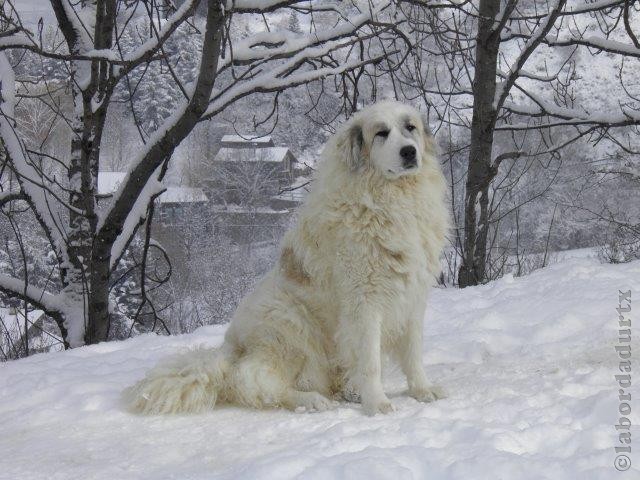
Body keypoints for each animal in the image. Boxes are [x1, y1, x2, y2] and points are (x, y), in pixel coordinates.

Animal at [124, 101, 444, 416]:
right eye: (381, 133)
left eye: (410, 127)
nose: (409, 151)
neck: (392, 199)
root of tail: (227, 350)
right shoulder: (363, 303)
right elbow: (370, 362)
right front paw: (377, 403)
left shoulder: (413, 295)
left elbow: (413, 353)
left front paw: (422, 390)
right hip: (290, 324)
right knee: (253, 382)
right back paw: (311, 400)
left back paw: (348, 392)